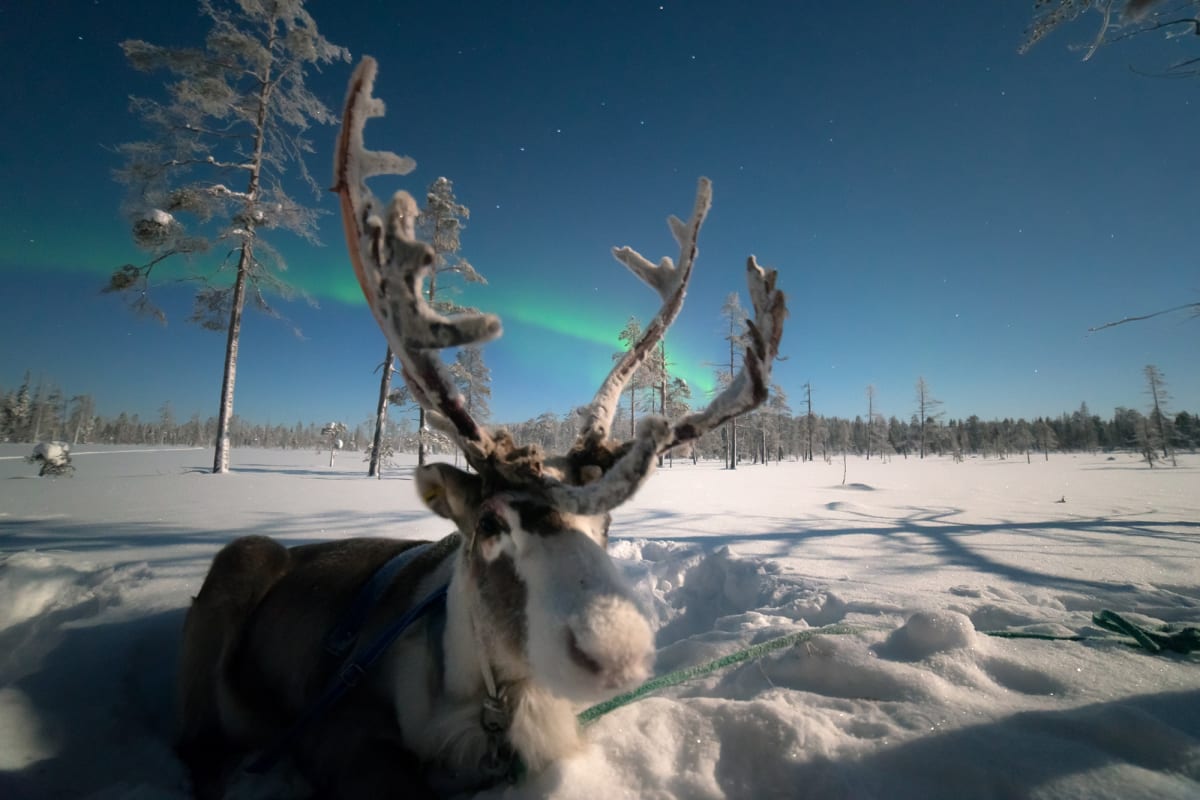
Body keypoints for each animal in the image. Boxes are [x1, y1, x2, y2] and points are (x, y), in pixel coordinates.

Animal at [174, 55, 787, 800]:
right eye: (492, 525)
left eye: (608, 525)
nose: (615, 652)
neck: (487, 703)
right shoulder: (339, 729)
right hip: (240, 562)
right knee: (197, 744)